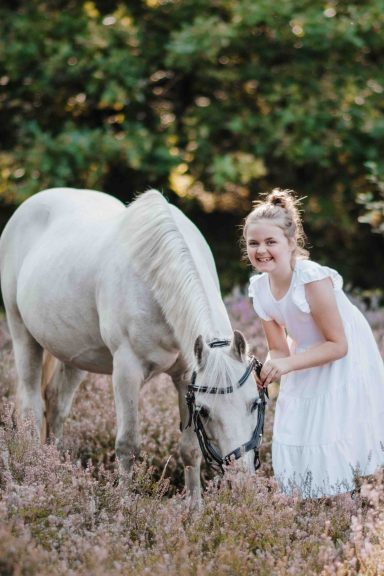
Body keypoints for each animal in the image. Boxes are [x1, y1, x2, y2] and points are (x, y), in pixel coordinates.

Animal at [0, 189, 260, 504]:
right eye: (205, 412)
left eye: (255, 403)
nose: (243, 483)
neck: (156, 276)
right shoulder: (127, 371)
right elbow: (128, 445)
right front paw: (124, 504)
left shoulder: (186, 377)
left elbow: (190, 450)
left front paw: (195, 509)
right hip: (22, 333)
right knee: (32, 408)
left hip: (74, 356)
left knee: (57, 406)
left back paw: (55, 470)